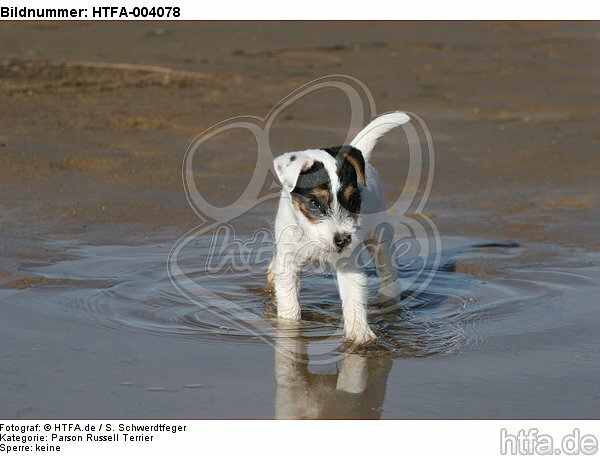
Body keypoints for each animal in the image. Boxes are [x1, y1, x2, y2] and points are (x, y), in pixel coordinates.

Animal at [268, 112, 412, 344]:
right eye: (314, 203)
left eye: (353, 201)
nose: (343, 239)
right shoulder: (289, 261)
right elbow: (289, 300)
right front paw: (290, 330)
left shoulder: (348, 265)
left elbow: (353, 298)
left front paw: (360, 336)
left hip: (380, 237)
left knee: (387, 272)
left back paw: (387, 300)